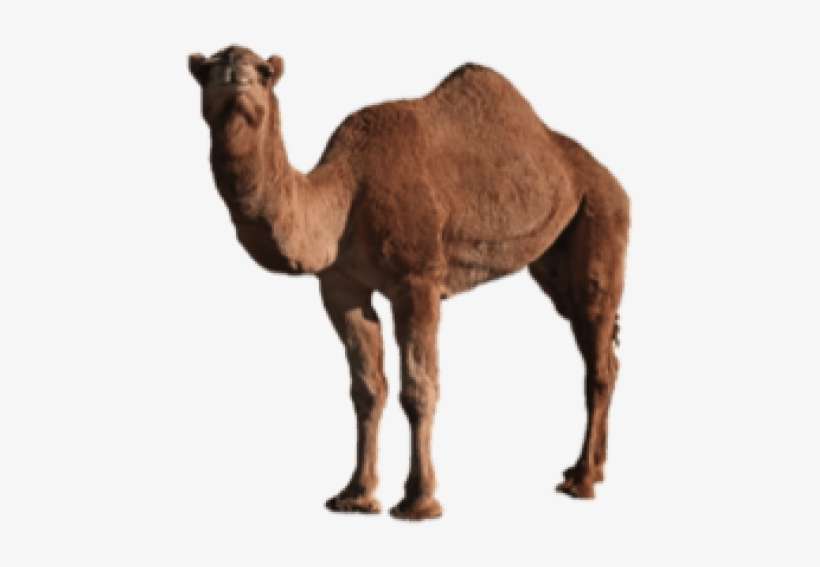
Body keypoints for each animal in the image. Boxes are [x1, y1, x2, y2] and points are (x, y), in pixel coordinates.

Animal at [189, 45, 629, 520]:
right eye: (209, 69)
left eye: (265, 72)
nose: (236, 77)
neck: (345, 194)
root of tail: (611, 180)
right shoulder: (340, 287)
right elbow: (367, 388)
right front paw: (355, 494)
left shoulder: (417, 280)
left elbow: (418, 388)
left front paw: (419, 499)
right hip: (554, 257)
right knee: (598, 342)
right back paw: (590, 469)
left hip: (601, 213)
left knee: (598, 347)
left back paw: (582, 480)